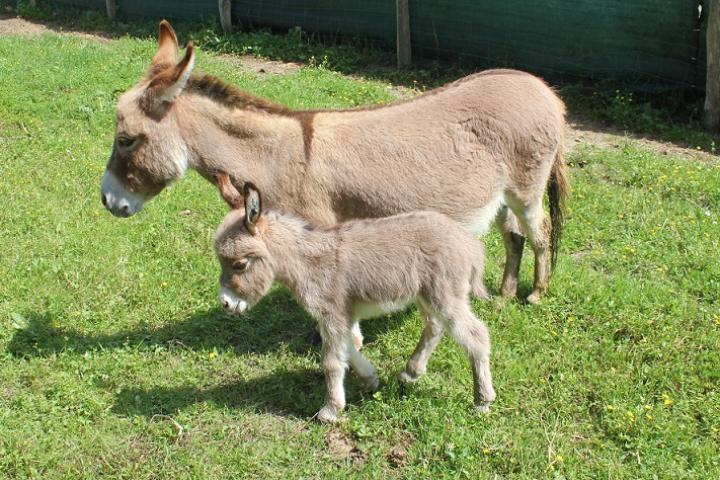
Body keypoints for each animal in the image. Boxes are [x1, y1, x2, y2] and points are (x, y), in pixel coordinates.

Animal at [214, 173, 496, 424]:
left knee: (475, 335)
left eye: (239, 265)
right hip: (426, 294)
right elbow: (348, 348)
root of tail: (469, 243)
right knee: (435, 326)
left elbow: (331, 362)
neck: (307, 263)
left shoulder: (332, 313)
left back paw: (482, 400)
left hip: (445, 295)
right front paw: (370, 379)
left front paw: (330, 411)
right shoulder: (341, 316)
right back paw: (411, 372)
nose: (226, 304)